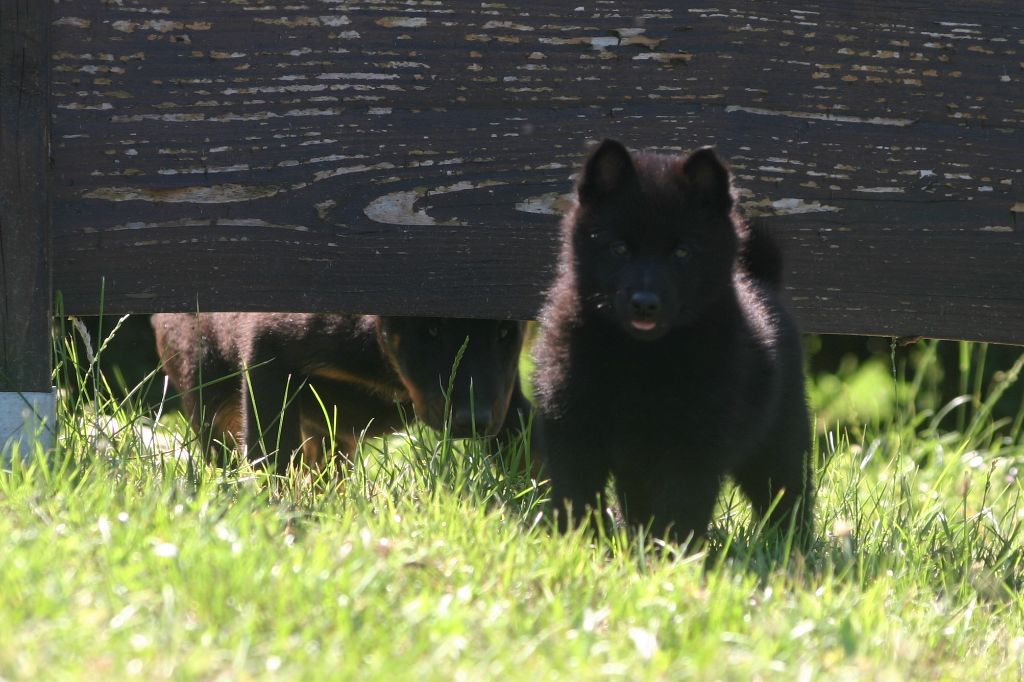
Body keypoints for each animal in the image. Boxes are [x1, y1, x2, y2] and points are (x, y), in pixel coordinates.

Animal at [151, 311, 528, 471]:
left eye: (505, 332)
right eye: (432, 330)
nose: (473, 421)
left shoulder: (506, 396)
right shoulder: (268, 352)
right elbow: (274, 458)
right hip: (210, 396)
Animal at [532, 140, 811, 544]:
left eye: (681, 252)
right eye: (619, 248)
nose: (645, 303)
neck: (642, 355)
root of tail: (764, 281)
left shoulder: (693, 444)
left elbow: (681, 507)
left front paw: (672, 553)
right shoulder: (572, 426)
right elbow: (578, 495)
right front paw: (580, 543)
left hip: (779, 439)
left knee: (789, 495)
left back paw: (794, 546)